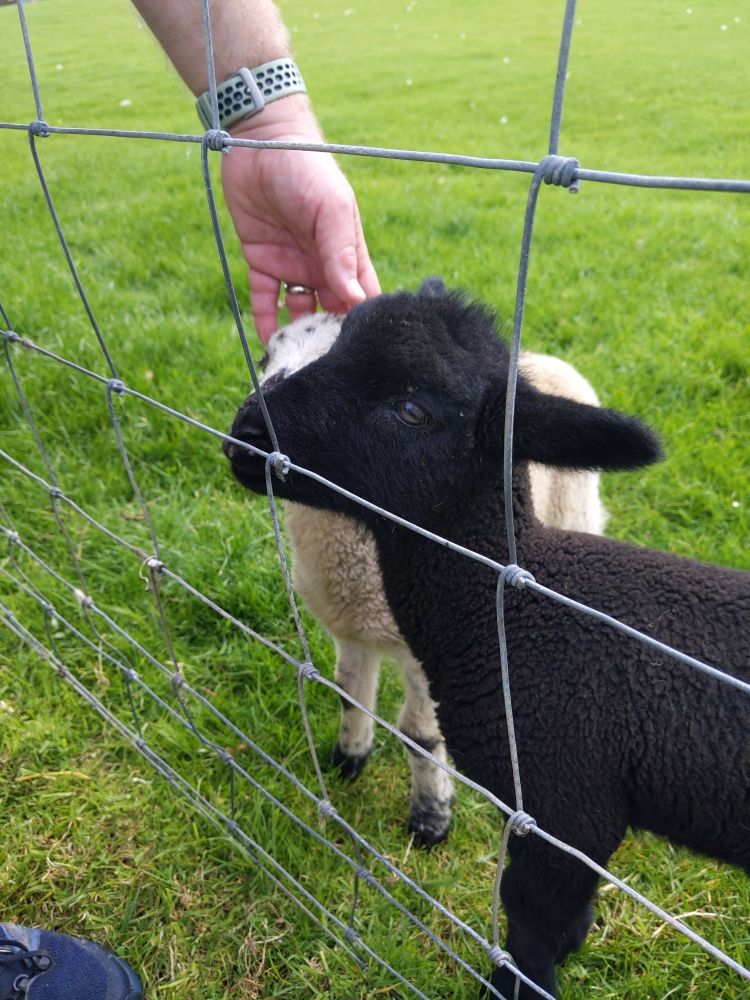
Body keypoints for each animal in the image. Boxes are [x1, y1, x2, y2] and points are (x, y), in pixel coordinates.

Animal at [259, 304, 607, 846]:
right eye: (266, 359)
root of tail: (549, 361)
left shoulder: (427, 650)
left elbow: (421, 736)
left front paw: (431, 818)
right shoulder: (351, 630)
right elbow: (349, 694)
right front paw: (348, 759)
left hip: (575, 511)